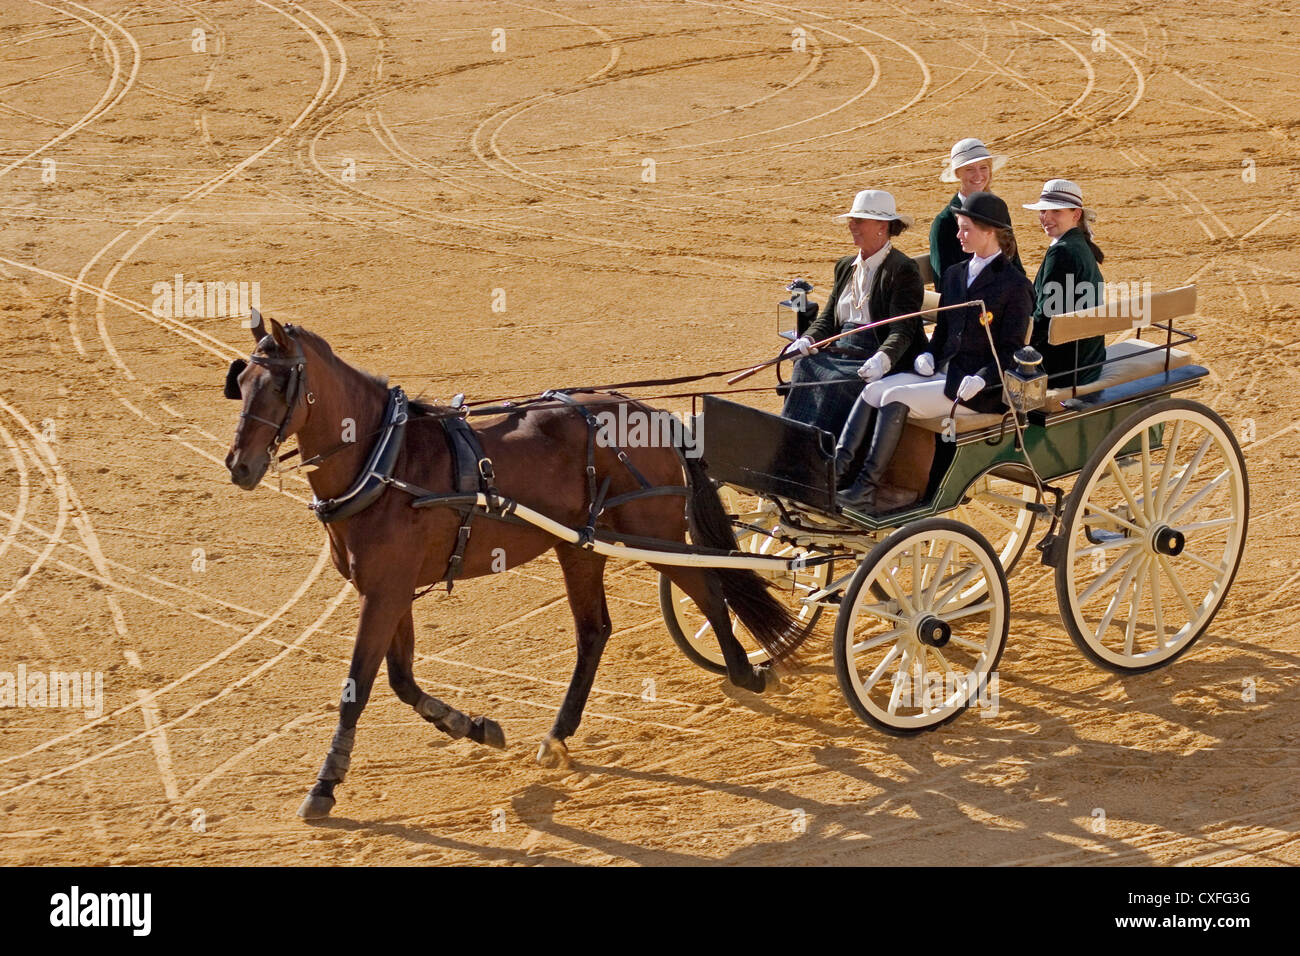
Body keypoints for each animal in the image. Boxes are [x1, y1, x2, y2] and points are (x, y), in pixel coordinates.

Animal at [224, 310, 811, 816]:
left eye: (279, 385)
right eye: (242, 380)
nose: (239, 466)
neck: (383, 462)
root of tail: (656, 416)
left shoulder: (385, 591)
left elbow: (358, 689)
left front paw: (325, 784)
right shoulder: (390, 590)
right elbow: (402, 680)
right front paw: (476, 727)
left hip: (657, 536)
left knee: (709, 590)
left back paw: (745, 671)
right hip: (582, 545)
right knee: (595, 630)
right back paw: (558, 735)